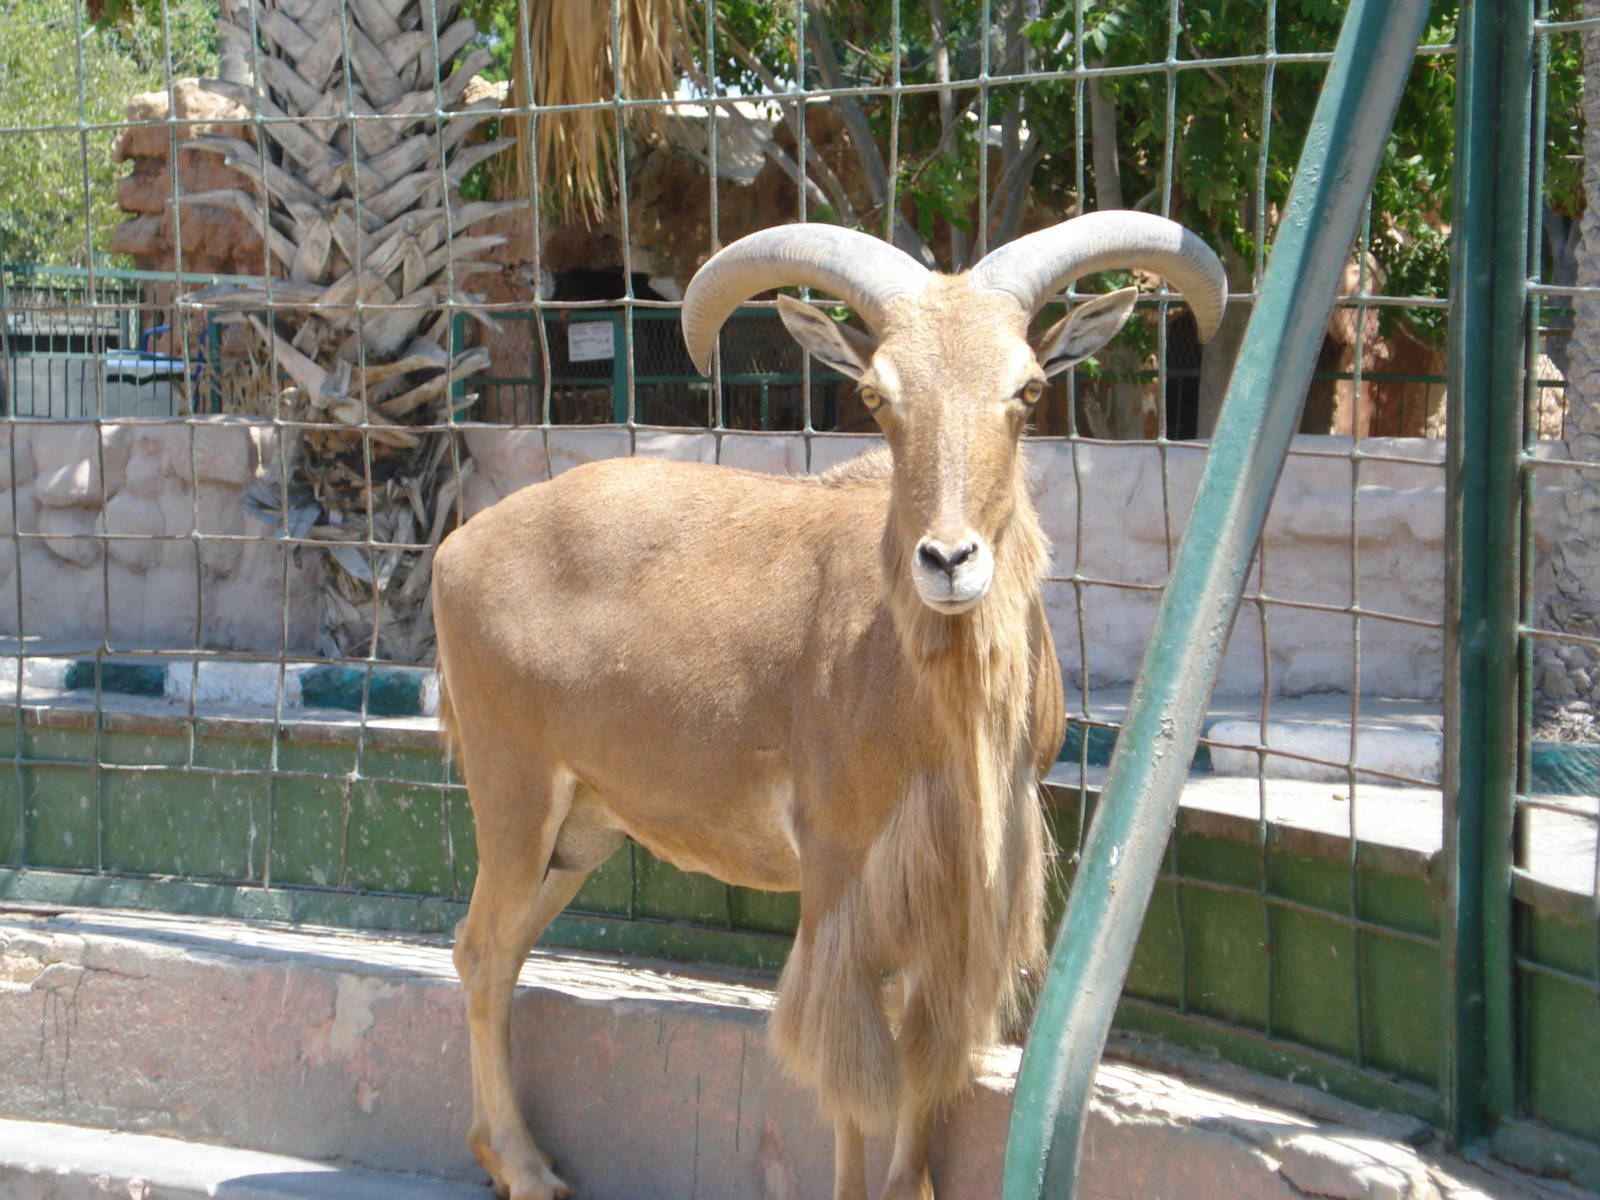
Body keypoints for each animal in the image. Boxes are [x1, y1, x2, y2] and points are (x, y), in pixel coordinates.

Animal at [432, 210, 1226, 1200]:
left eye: (1029, 388)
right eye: (879, 395)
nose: (949, 560)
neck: (926, 701)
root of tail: (455, 552)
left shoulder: (951, 889)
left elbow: (925, 1056)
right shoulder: (840, 870)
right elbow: (853, 1074)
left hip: (582, 834)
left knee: (496, 953)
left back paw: (501, 1157)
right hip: (513, 794)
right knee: (481, 950)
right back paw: (528, 1168)